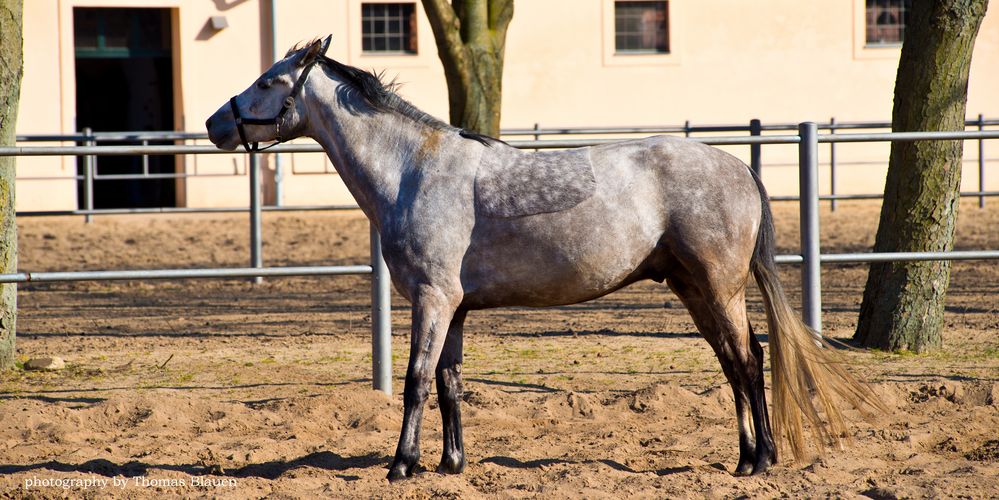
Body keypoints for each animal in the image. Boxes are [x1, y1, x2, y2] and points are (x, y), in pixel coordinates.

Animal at [207, 37, 880, 478]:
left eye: (269, 81)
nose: (216, 123)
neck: (414, 170)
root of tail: (738, 165)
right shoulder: (455, 308)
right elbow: (449, 382)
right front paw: (450, 464)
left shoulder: (432, 299)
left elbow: (417, 381)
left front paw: (402, 465)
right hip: (693, 290)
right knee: (733, 364)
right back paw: (743, 459)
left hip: (719, 288)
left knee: (746, 360)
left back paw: (761, 461)